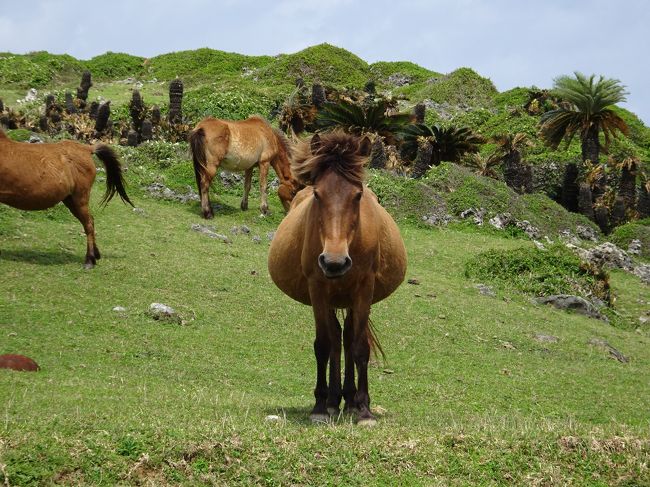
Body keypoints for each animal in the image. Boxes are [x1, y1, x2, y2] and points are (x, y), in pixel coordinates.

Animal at [0, 129, 133, 266]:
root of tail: (87, 149)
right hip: (71, 200)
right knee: (90, 221)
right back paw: (96, 255)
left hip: (80, 198)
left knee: (88, 224)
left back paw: (89, 260)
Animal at [268, 132, 404, 426]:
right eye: (318, 194)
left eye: (358, 195)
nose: (334, 262)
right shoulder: (317, 289)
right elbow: (323, 345)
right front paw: (320, 406)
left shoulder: (364, 289)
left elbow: (360, 347)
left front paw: (364, 410)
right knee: (335, 337)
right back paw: (332, 401)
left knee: (349, 335)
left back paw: (350, 400)